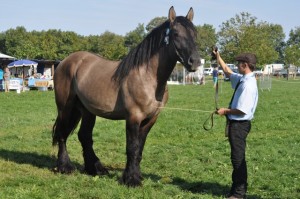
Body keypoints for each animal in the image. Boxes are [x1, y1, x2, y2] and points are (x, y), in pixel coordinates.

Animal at [52, 6, 200, 187]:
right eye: (176, 34)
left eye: (195, 34)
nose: (195, 62)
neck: (147, 77)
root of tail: (65, 62)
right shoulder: (133, 117)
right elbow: (132, 147)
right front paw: (131, 179)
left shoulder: (150, 119)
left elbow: (139, 149)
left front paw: (136, 176)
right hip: (65, 107)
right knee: (62, 134)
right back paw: (65, 167)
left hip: (87, 111)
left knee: (84, 136)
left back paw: (95, 168)